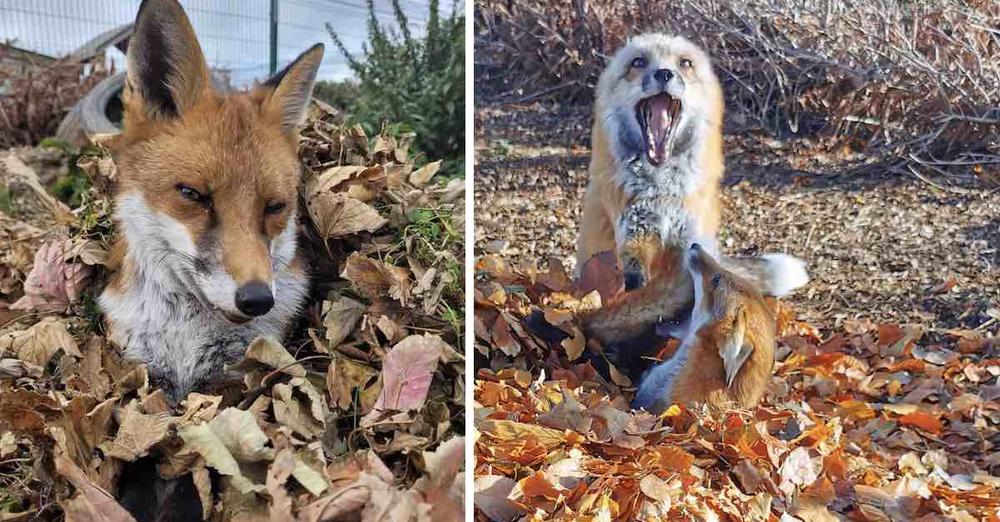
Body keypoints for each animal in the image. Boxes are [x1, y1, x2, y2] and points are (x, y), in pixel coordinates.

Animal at [100, 0, 324, 400]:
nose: (257, 299)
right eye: (193, 194)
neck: (187, 338)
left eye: (275, 207)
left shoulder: (234, 376)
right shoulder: (142, 364)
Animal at [576, 33, 808, 346]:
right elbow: (637, 275)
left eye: (684, 63)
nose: (664, 73)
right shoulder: (634, 231)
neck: (662, 192)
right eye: (638, 62)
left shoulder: (690, 239)